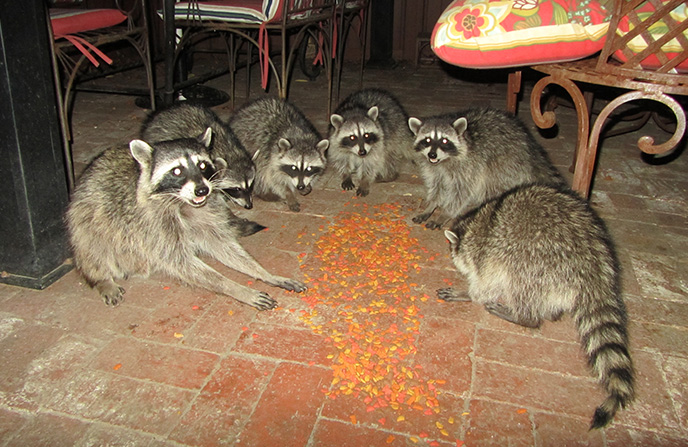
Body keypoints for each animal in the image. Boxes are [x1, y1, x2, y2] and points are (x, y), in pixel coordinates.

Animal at [66, 128, 306, 310]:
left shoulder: (206, 211)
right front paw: (236, 288)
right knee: (93, 245)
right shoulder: (152, 222)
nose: (202, 190)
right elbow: (180, 261)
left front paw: (263, 273)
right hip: (86, 216)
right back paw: (101, 277)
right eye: (177, 171)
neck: (182, 201)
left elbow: (221, 244)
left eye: (203, 165)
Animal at [408, 107, 565, 229]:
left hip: (507, 163)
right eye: (427, 140)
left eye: (444, 141)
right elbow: (437, 187)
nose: (432, 154)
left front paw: (445, 213)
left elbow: (461, 192)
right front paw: (431, 205)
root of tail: (532, 151)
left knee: (493, 184)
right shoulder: (434, 170)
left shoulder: (469, 166)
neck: (443, 161)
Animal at [439, 183, 634, 429]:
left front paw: (469, 293)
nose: (452, 260)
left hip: (537, 259)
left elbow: (487, 283)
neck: (477, 222)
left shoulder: (487, 253)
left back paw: (524, 316)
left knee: (521, 283)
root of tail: (594, 264)